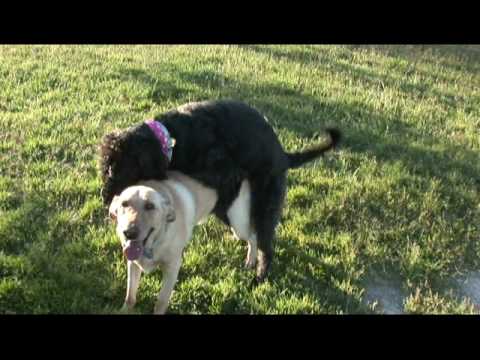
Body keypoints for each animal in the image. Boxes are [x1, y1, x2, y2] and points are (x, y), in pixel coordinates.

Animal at [99, 100, 342, 282]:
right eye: (106, 167)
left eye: (116, 169)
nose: (107, 198)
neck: (172, 137)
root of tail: (283, 155)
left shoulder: (220, 167)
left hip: (266, 203)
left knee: (266, 245)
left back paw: (259, 277)